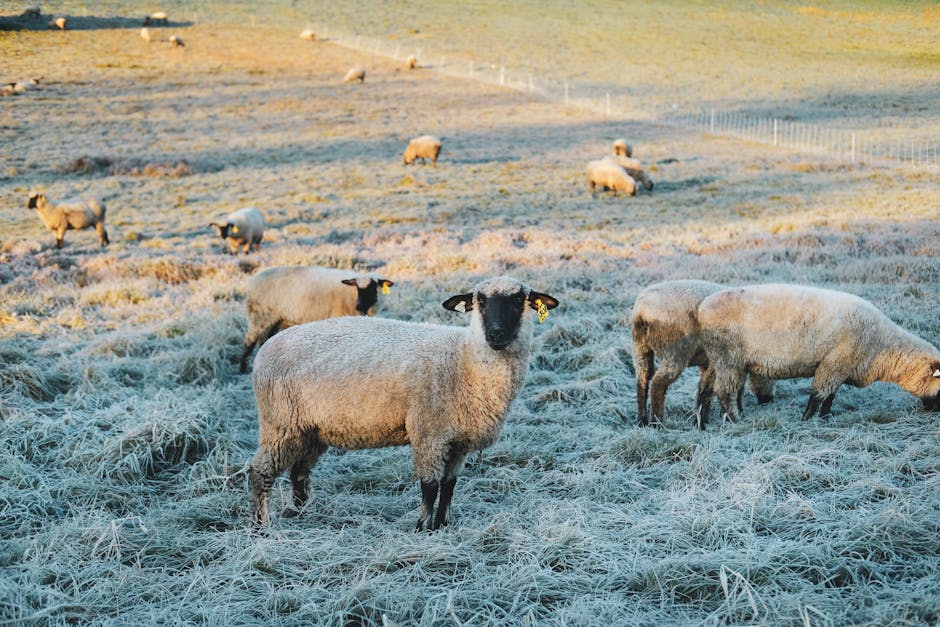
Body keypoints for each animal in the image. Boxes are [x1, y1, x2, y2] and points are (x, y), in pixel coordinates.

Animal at [241, 264, 394, 372]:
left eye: (373, 287)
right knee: (249, 342)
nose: (359, 306)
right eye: (357, 288)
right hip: (259, 315)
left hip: (275, 319)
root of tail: (252, 281)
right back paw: (242, 368)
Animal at [248, 274, 560, 528]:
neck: (464, 361)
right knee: (260, 472)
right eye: (480, 300)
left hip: (310, 429)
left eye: (519, 299)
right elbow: (430, 487)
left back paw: (301, 513)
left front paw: (443, 526)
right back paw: (262, 526)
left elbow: (449, 486)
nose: (496, 334)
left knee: (299, 473)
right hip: (279, 423)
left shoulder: (457, 441)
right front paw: (422, 528)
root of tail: (266, 348)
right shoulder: (428, 434)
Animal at [628, 280, 776, 432]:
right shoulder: (722, 361)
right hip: (675, 352)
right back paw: (658, 423)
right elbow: (712, 389)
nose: (768, 400)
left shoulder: (712, 363)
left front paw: (702, 420)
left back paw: (642, 421)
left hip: (640, 349)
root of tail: (642, 312)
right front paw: (706, 422)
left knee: (642, 381)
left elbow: (709, 389)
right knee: (658, 384)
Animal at [692, 284, 940, 422]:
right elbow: (818, 394)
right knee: (725, 392)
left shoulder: (840, 367)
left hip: (716, 360)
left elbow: (830, 395)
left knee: (704, 390)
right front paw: (807, 419)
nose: (935, 412)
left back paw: (701, 422)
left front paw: (825, 416)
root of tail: (702, 309)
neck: (881, 345)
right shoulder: (834, 363)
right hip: (729, 358)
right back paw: (735, 419)